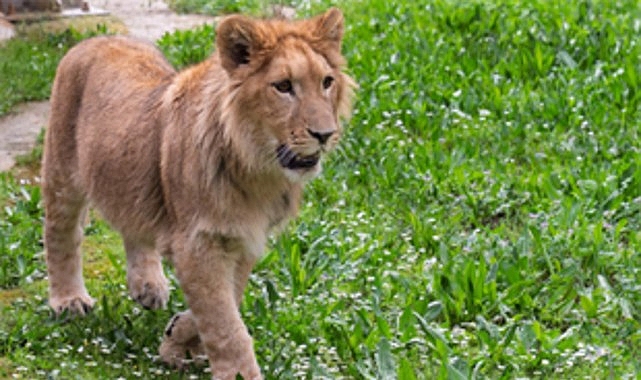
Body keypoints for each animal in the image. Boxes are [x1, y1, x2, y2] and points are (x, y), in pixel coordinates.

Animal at [42, 7, 352, 378]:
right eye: (283, 87)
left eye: (326, 82)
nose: (325, 134)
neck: (255, 168)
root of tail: (97, 39)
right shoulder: (197, 242)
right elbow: (225, 322)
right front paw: (237, 372)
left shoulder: (242, 238)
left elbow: (228, 299)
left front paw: (178, 341)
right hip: (62, 171)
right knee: (61, 235)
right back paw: (69, 301)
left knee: (133, 225)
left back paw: (148, 286)